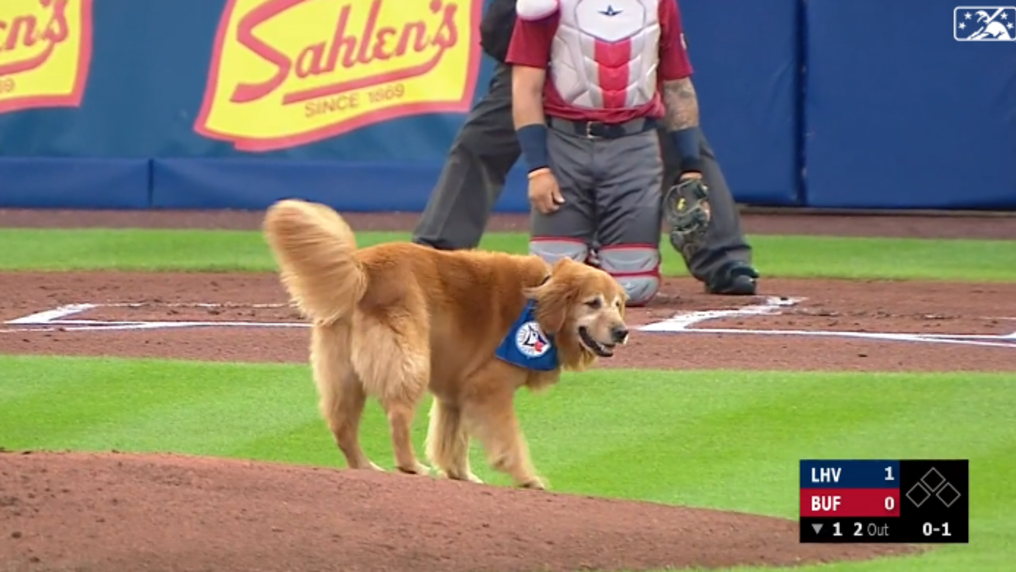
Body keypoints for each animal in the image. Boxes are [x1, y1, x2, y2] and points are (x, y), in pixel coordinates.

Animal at [262, 199, 625, 489]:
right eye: (593, 303)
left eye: (618, 304)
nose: (622, 332)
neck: (538, 300)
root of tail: (362, 267)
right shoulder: (487, 389)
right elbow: (510, 440)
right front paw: (528, 478)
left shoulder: (457, 393)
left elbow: (453, 441)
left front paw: (461, 475)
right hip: (411, 361)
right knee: (397, 416)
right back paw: (410, 466)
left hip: (344, 373)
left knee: (341, 424)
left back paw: (365, 467)